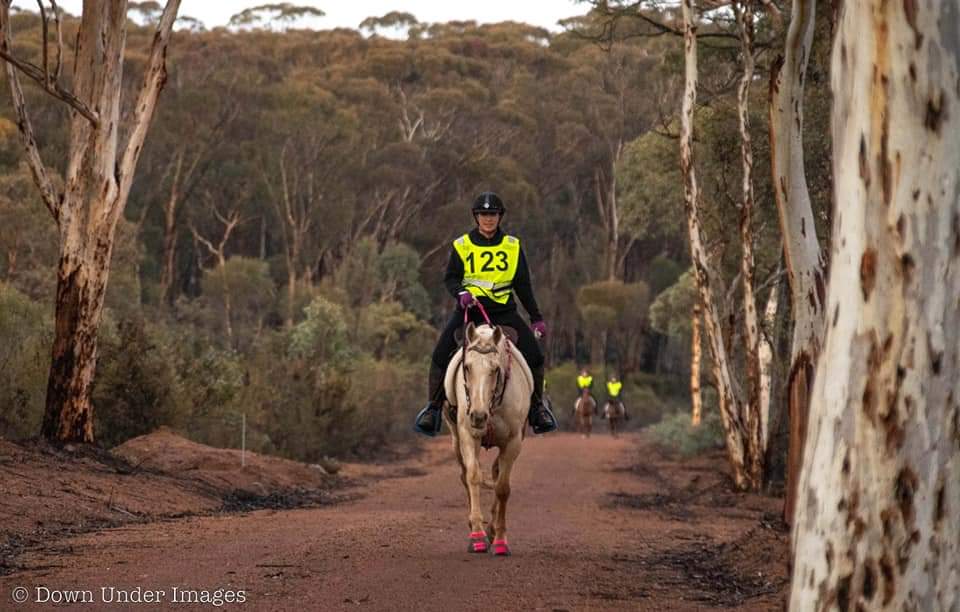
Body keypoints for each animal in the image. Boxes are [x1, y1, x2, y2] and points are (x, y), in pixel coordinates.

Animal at [442, 322, 532, 556]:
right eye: (467, 367)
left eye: (495, 369)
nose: (478, 416)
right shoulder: (468, 435)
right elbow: (473, 477)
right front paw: (477, 537)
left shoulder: (513, 442)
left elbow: (502, 488)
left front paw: (499, 539)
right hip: (456, 439)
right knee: (465, 476)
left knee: (496, 473)